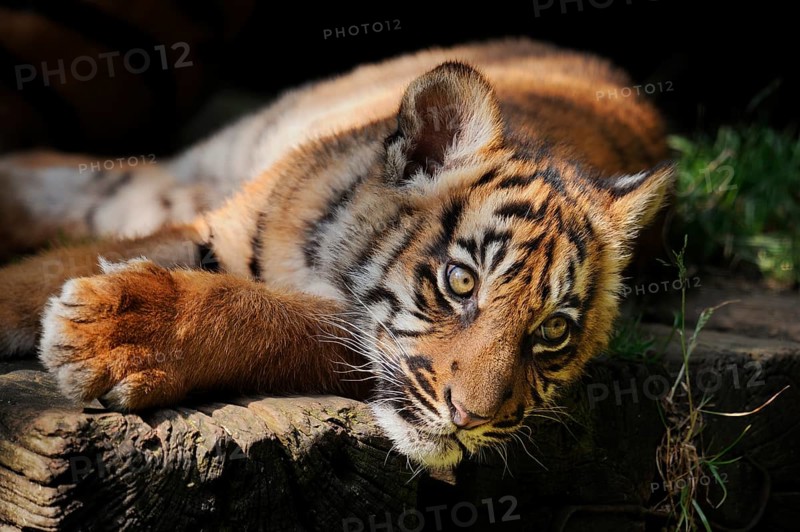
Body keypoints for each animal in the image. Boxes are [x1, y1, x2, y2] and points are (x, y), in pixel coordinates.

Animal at [0, 38, 671, 469]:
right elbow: (52, 269)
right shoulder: (216, 229)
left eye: (553, 330)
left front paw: (113, 334)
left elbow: (267, 317)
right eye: (460, 281)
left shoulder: (341, 328)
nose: (472, 419)